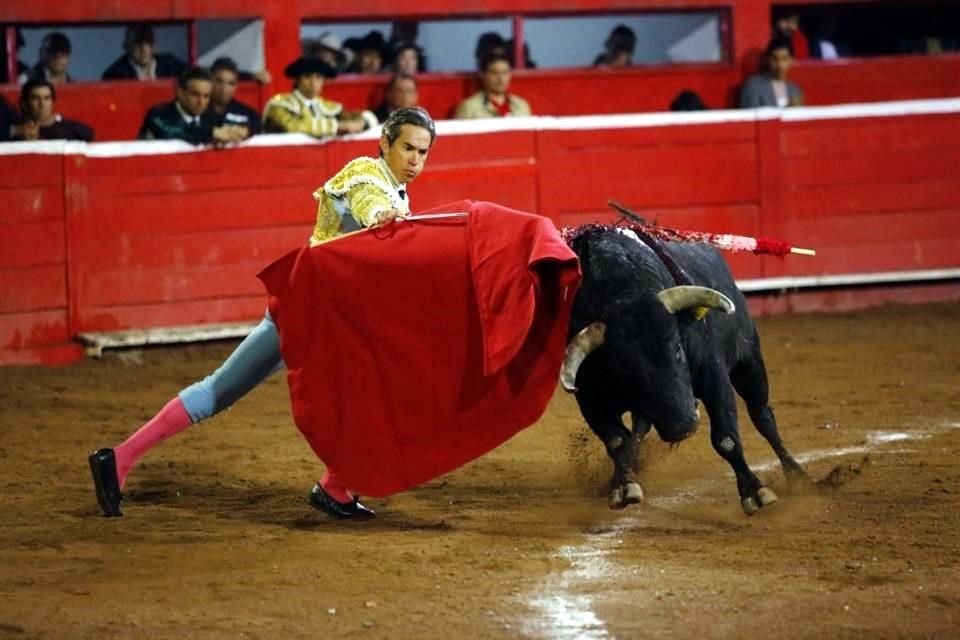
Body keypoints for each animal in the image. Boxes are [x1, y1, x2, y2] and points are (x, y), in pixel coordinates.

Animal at [564, 225, 808, 516]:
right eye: (624, 370)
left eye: (678, 348)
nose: (682, 426)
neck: (624, 292)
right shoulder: (589, 398)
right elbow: (618, 441)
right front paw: (623, 485)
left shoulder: (714, 376)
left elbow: (726, 438)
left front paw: (754, 491)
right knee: (638, 430)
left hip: (749, 362)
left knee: (762, 415)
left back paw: (797, 475)